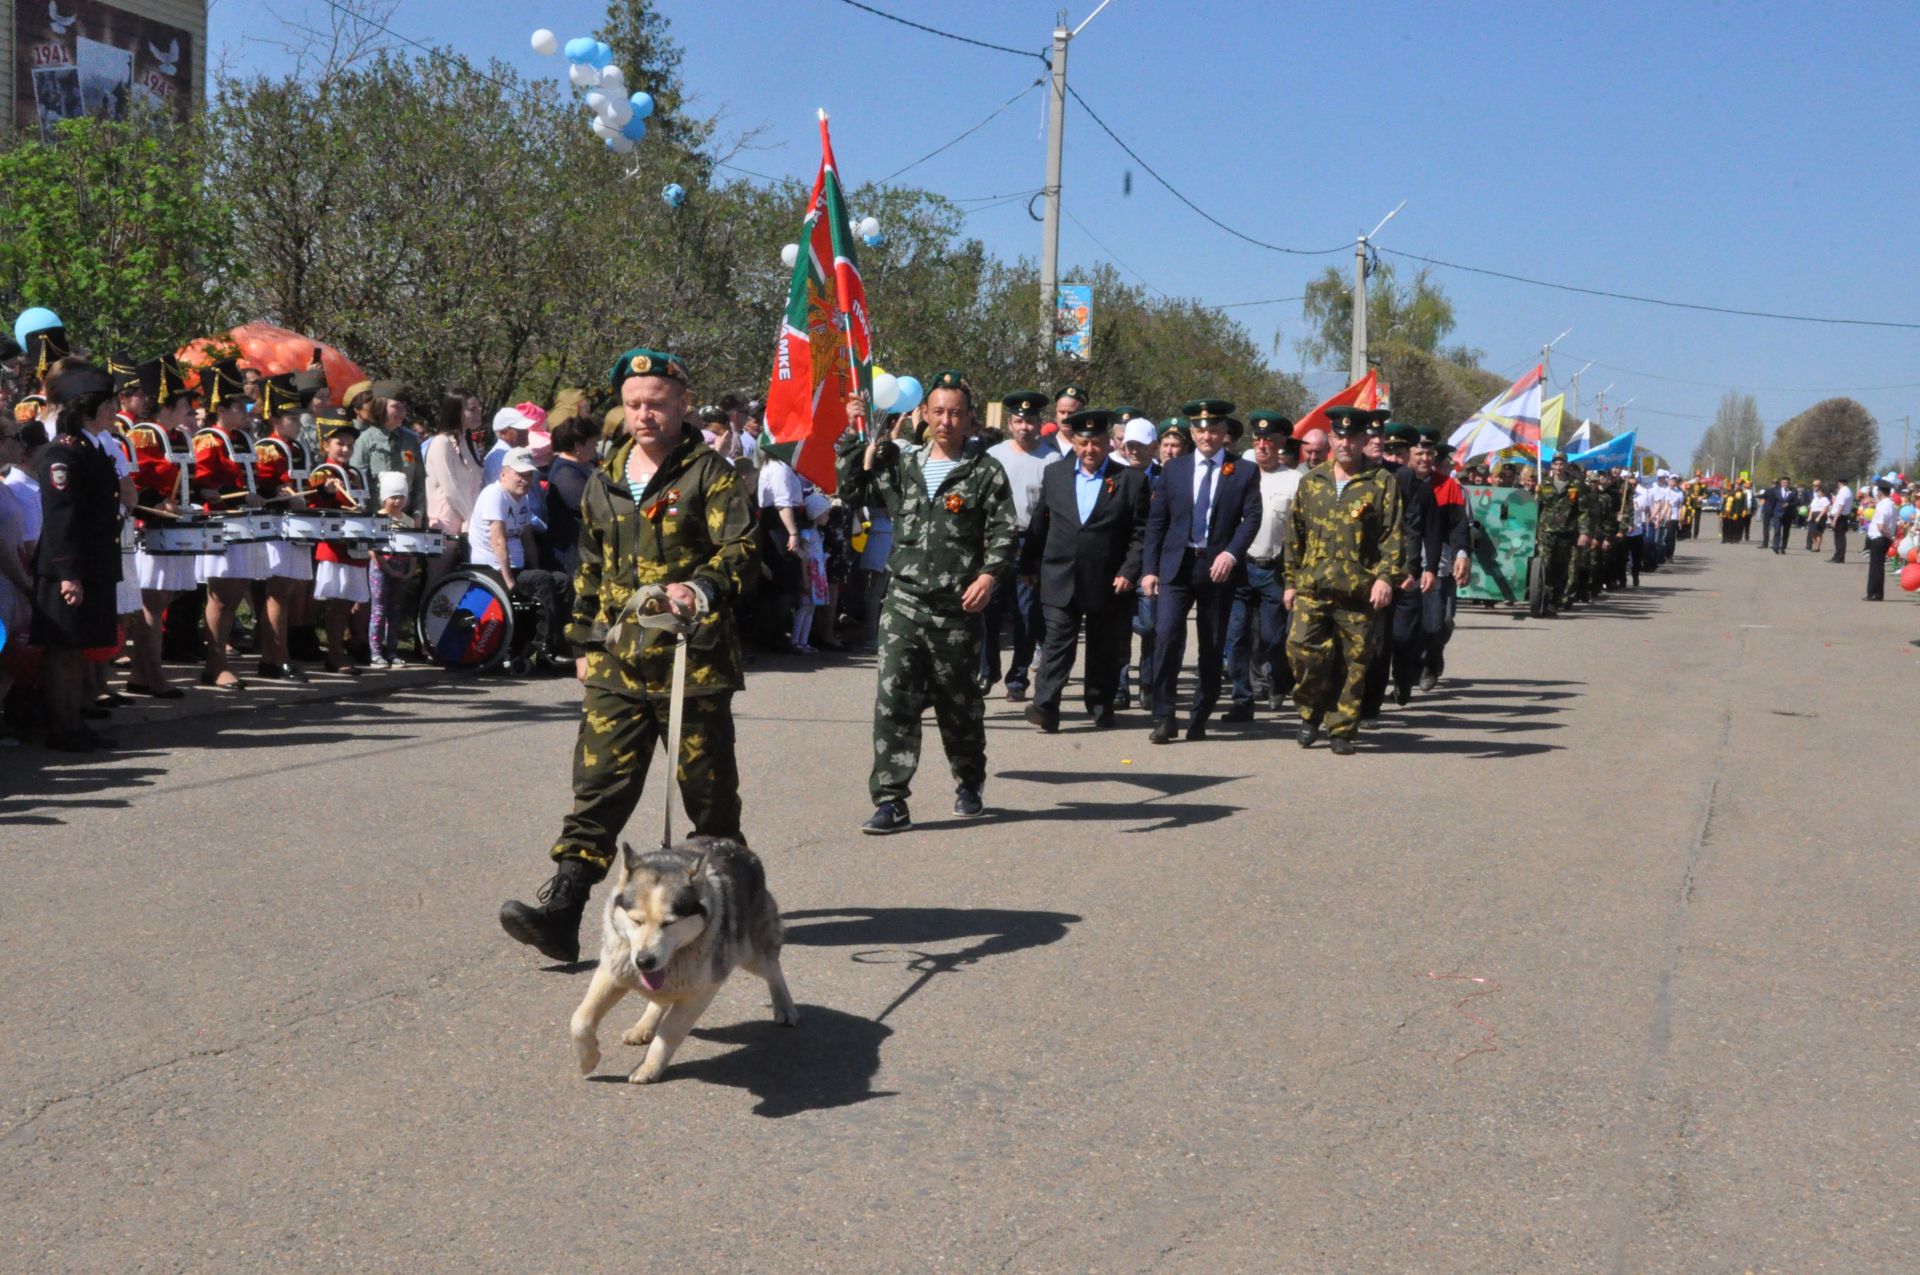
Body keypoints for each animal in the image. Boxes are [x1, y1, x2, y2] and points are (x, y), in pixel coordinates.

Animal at [564, 837, 798, 1082]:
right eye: (636, 921)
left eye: (669, 923)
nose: (644, 961)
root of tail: (737, 846)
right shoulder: (613, 971)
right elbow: (580, 1020)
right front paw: (587, 1060)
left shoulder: (703, 990)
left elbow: (670, 1031)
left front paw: (649, 1066)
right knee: (660, 998)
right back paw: (644, 1026)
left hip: (751, 953)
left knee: (773, 969)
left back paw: (785, 1007)